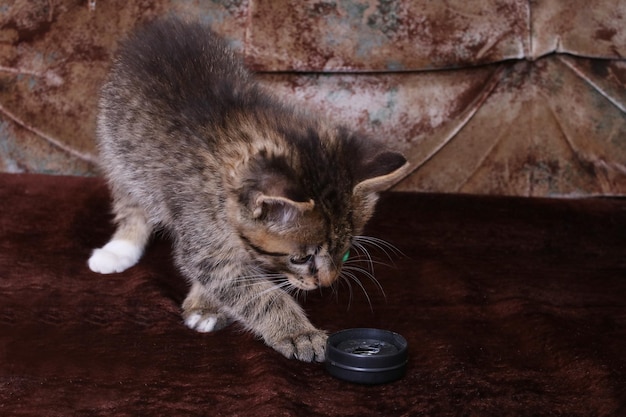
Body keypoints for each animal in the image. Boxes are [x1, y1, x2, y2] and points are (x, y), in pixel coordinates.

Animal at [89, 17, 410, 360]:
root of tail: (158, 27)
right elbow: (250, 291)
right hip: (118, 151)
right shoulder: (201, 231)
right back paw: (119, 249)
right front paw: (297, 332)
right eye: (300, 259)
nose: (326, 283)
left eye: (347, 253)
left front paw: (206, 305)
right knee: (130, 200)